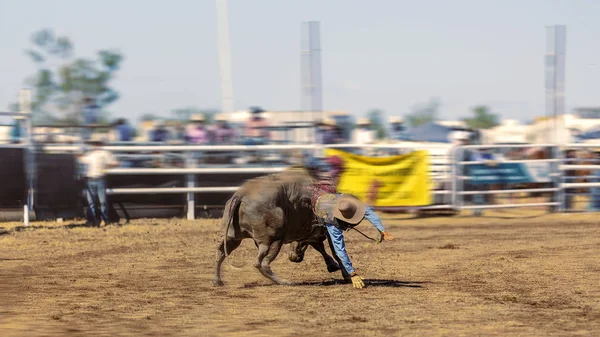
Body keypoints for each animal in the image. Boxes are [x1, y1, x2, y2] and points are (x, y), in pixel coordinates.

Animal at [212, 169, 342, 284]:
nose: (294, 257)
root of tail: (240, 195)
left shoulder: (309, 232)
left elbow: (318, 246)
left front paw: (332, 265)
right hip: (273, 239)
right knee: (261, 262)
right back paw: (284, 281)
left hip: (232, 236)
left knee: (221, 252)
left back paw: (217, 280)